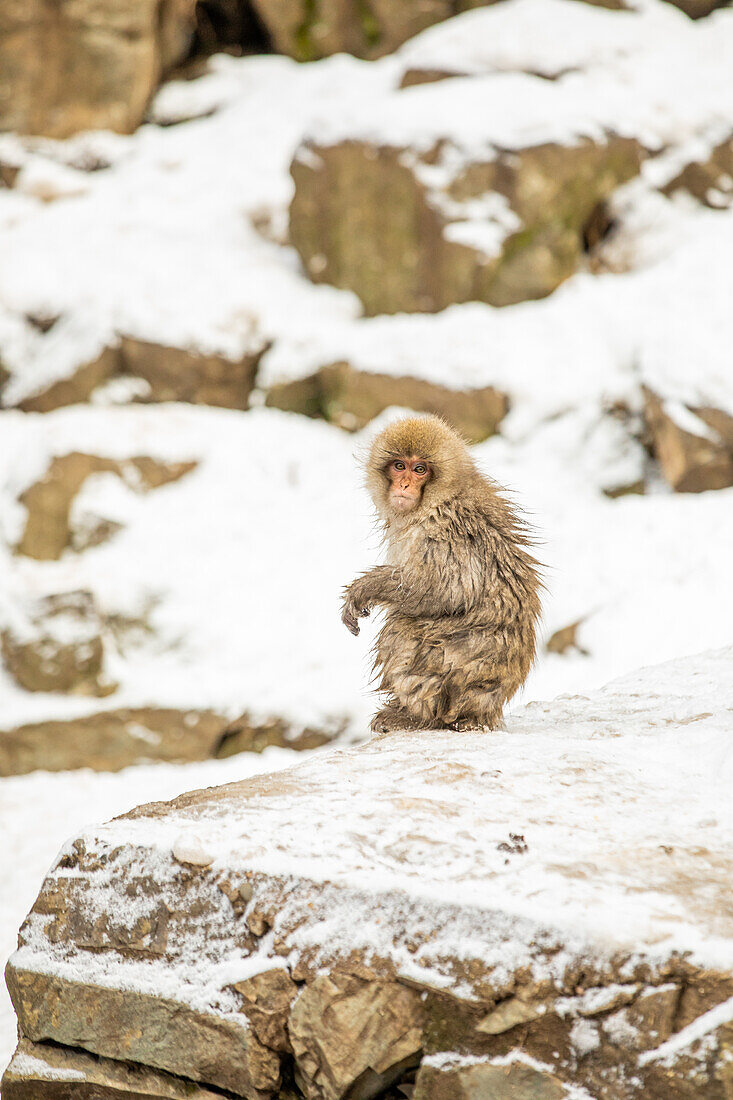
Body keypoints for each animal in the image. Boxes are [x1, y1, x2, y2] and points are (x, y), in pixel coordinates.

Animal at [338, 415, 539, 734]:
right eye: (399, 465)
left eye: (420, 469)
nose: (405, 484)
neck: (439, 497)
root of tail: (487, 710)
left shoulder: (444, 529)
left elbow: (449, 590)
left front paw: (365, 588)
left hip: (452, 677)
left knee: (401, 627)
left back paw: (416, 717)